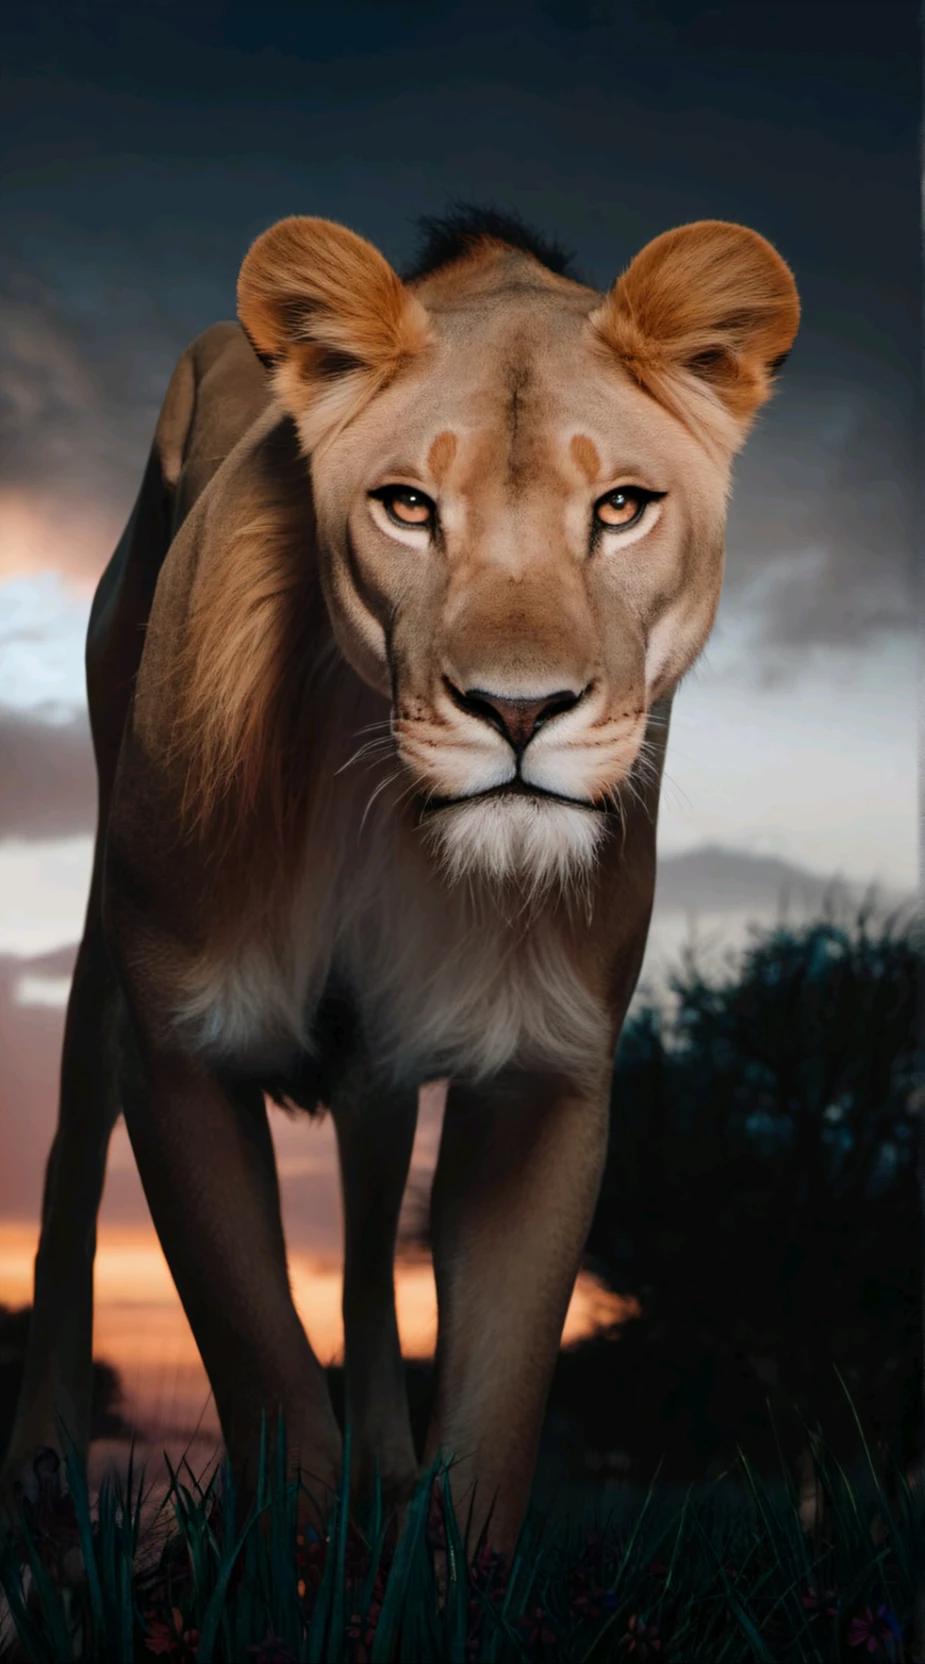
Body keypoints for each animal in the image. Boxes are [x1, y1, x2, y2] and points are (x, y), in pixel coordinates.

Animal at [3, 206, 798, 1551]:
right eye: (408, 507)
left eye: (621, 506)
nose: (518, 710)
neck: (399, 820)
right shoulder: (183, 1041)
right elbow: (264, 1367)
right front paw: (298, 1561)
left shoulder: (551, 1071)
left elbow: (496, 1416)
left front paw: (434, 1554)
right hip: (109, 942)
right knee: (66, 1164)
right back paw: (45, 1472)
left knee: (373, 1224)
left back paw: (382, 1455)